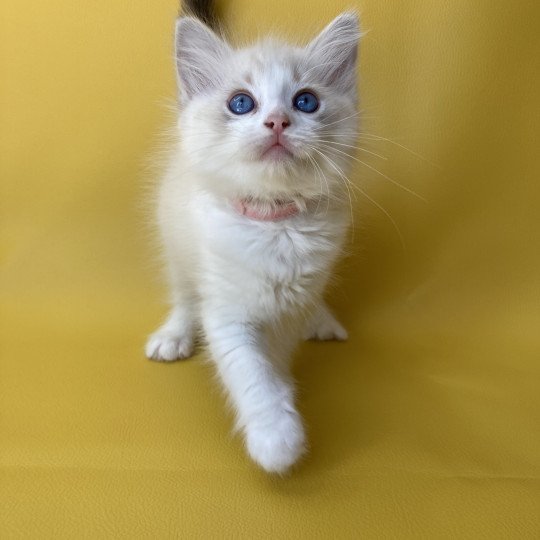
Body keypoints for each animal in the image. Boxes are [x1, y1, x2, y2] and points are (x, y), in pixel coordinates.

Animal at [146, 1, 360, 472]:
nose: (278, 121)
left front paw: (283, 396)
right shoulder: (226, 309)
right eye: (241, 103)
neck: (276, 225)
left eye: (306, 101)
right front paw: (276, 438)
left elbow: (274, 359)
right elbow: (250, 370)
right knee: (184, 297)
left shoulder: (292, 304)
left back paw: (322, 321)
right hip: (176, 246)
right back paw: (174, 336)